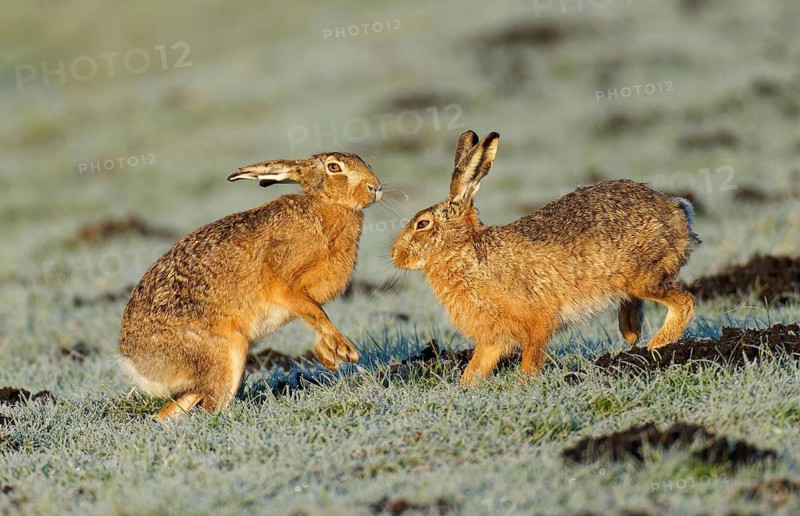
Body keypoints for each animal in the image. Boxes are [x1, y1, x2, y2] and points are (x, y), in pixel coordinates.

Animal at [120, 152, 382, 420]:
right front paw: (346, 350)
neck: (324, 206)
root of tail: (136, 363)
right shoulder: (287, 287)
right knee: (212, 404)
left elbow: (316, 317)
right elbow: (317, 314)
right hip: (227, 353)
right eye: (334, 167)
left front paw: (328, 356)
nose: (375, 187)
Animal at [391, 130, 699, 386]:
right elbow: (477, 366)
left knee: (685, 302)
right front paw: (466, 387)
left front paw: (523, 384)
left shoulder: (537, 320)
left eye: (422, 224)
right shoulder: (493, 339)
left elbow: (531, 356)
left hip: (643, 276)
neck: (465, 251)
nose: (395, 255)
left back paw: (655, 348)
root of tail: (677, 209)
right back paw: (632, 333)